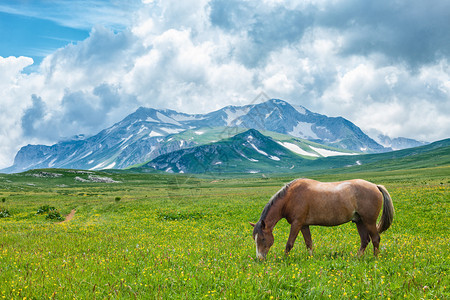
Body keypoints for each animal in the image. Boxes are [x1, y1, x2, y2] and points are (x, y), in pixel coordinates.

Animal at [250, 178, 394, 260]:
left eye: (263, 239)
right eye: (254, 238)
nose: (259, 258)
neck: (290, 197)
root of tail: (375, 186)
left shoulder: (296, 224)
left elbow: (289, 244)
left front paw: (284, 260)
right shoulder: (304, 225)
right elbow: (309, 243)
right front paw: (311, 259)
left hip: (369, 221)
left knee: (375, 239)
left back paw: (375, 259)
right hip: (359, 221)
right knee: (365, 240)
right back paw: (358, 258)